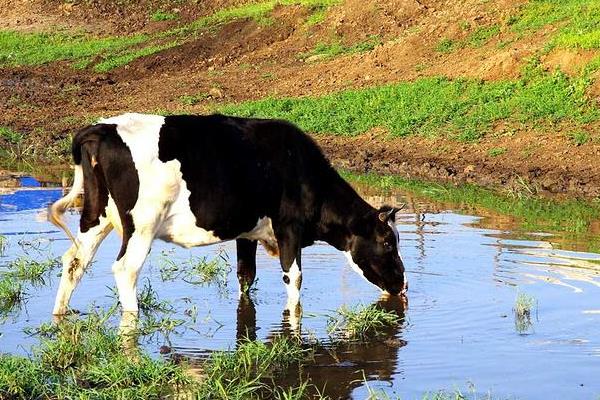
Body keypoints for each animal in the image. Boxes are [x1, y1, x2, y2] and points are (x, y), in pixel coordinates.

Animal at [49, 113, 408, 318]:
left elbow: (245, 277)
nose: (403, 284)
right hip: (142, 224)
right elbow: (294, 278)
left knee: (74, 261)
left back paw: (60, 316)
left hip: (96, 216)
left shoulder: (247, 233)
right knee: (125, 269)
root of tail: (102, 128)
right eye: (388, 242)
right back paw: (132, 320)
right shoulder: (289, 227)